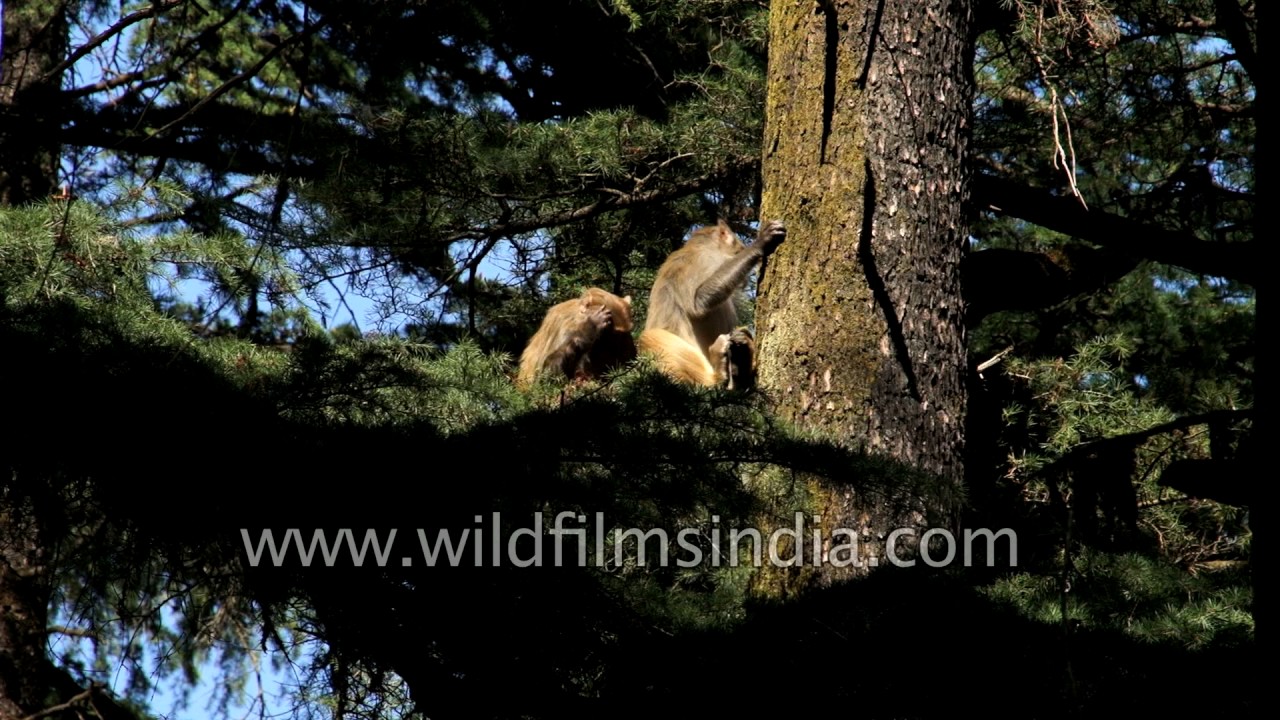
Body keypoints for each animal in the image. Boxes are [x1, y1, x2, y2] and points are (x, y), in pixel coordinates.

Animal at [637, 218, 785, 390]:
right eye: (740, 250)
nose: (747, 280)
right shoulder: (703, 260)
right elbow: (698, 302)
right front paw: (759, 244)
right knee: (649, 337)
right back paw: (717, 375)